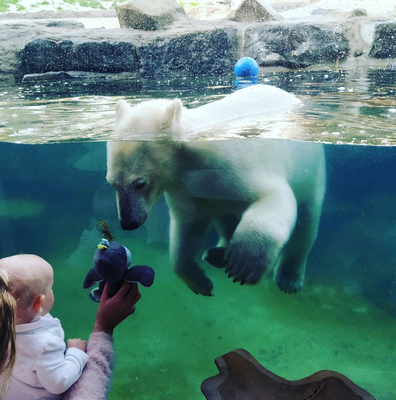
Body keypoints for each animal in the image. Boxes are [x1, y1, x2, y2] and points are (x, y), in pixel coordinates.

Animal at [106, 85, 326, 296]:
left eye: (139, 183)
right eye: (112, 183)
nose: (128, 223)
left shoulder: (232, 166)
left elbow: (273, 197)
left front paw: (243, 266)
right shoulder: (185, 187)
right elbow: (189, 225)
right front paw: (198, 281)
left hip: (311, 170)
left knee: (306, 221)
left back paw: (288, 279)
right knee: (225, 217)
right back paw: (216, 254)